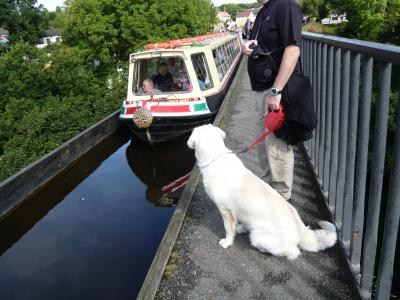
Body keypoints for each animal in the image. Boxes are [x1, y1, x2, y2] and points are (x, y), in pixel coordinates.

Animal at [188, 124, 338, 260]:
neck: (215, 157)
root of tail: (301, 230)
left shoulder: (225, 210)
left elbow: (228, 229)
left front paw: (227, 242)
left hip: (259, 237)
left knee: (293, 252)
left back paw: (264, 249)